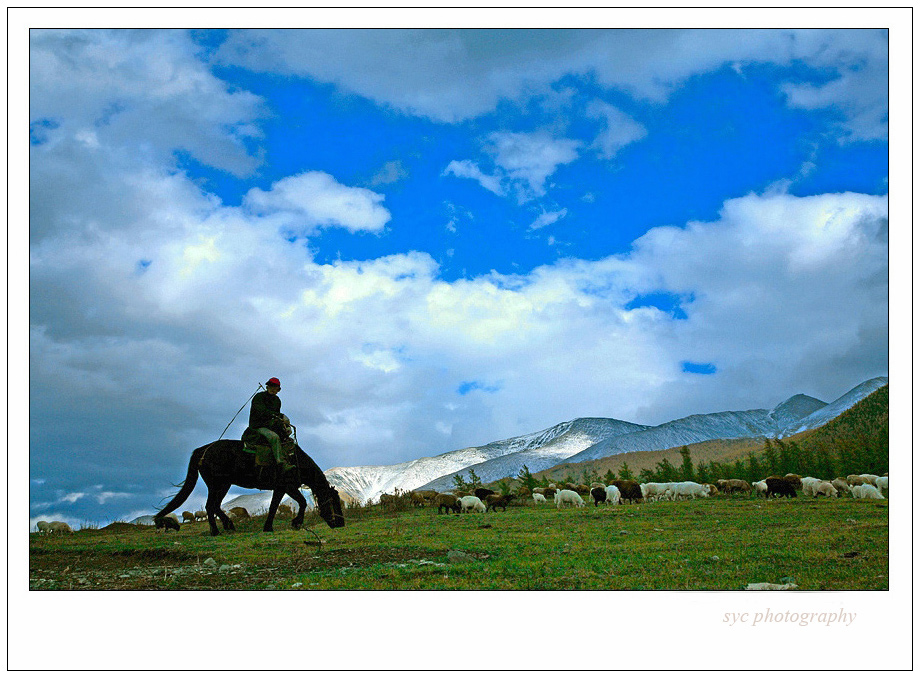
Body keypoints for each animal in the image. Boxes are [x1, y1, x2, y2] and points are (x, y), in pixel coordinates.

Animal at [155, 440, 344, 536]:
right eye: (334, 503)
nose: (341, 523)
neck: (295, 461)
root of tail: (203, 450)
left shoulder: (281, 488)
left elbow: (274, 506)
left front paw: (269, 527)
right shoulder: (288, 486)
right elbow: (301, 502)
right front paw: (295, 523)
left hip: (223, 485)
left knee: (215, 506)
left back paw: (229, 525)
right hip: (218, 484)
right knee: (210, 506)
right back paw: (216, 531)